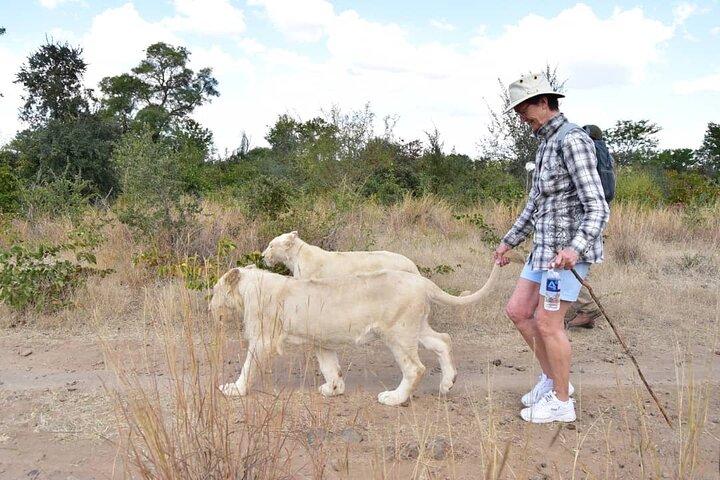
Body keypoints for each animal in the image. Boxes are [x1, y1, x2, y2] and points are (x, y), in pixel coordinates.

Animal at [209, 264, 499, 406]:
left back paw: (394, 398)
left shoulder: (264, 338)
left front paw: (234, 389)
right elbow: (330, 367)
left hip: (398, 332)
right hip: (417, 328)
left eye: (214, 290)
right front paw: (333, 389)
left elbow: (247, 366)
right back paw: (447, 383)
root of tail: (423, 281)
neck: (251, 286)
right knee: (443, 340)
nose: (209, 306)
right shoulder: (321, 340)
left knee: (415, 368)